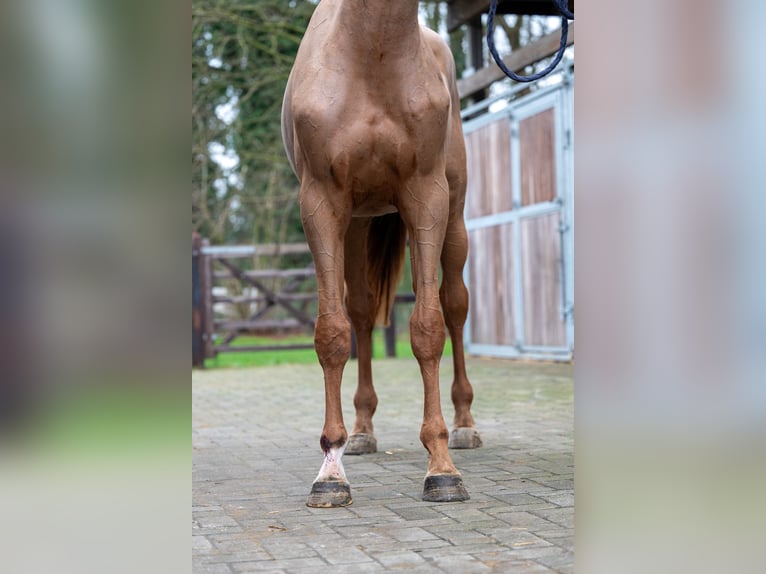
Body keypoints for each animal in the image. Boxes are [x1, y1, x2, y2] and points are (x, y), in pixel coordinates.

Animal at [284, 0, 480, 508]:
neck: (369, 53)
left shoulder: (426, 196)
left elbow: (428, 328)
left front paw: (441, 468)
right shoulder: (322, 204)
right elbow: (332, 334)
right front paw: (330, 471)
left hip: (453, 219)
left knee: (455, 307)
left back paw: (465, 425)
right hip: (356, 226)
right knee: (360, 313)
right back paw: (361, 431)